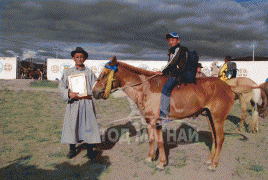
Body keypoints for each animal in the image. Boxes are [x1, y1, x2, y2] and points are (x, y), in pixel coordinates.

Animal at [93, 57, 236, 171]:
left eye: (105, 74)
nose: (94, 92)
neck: (146, 88)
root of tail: (228, 87)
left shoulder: (157, 122)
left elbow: (160, 142)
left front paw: (161, 163)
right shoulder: (149, 120)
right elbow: (151, 139)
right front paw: (150, 157)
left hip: (218, 118)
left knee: (220, 138)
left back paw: (214, 164)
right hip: (209, 117)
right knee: (214, 138)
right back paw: (209, 159)